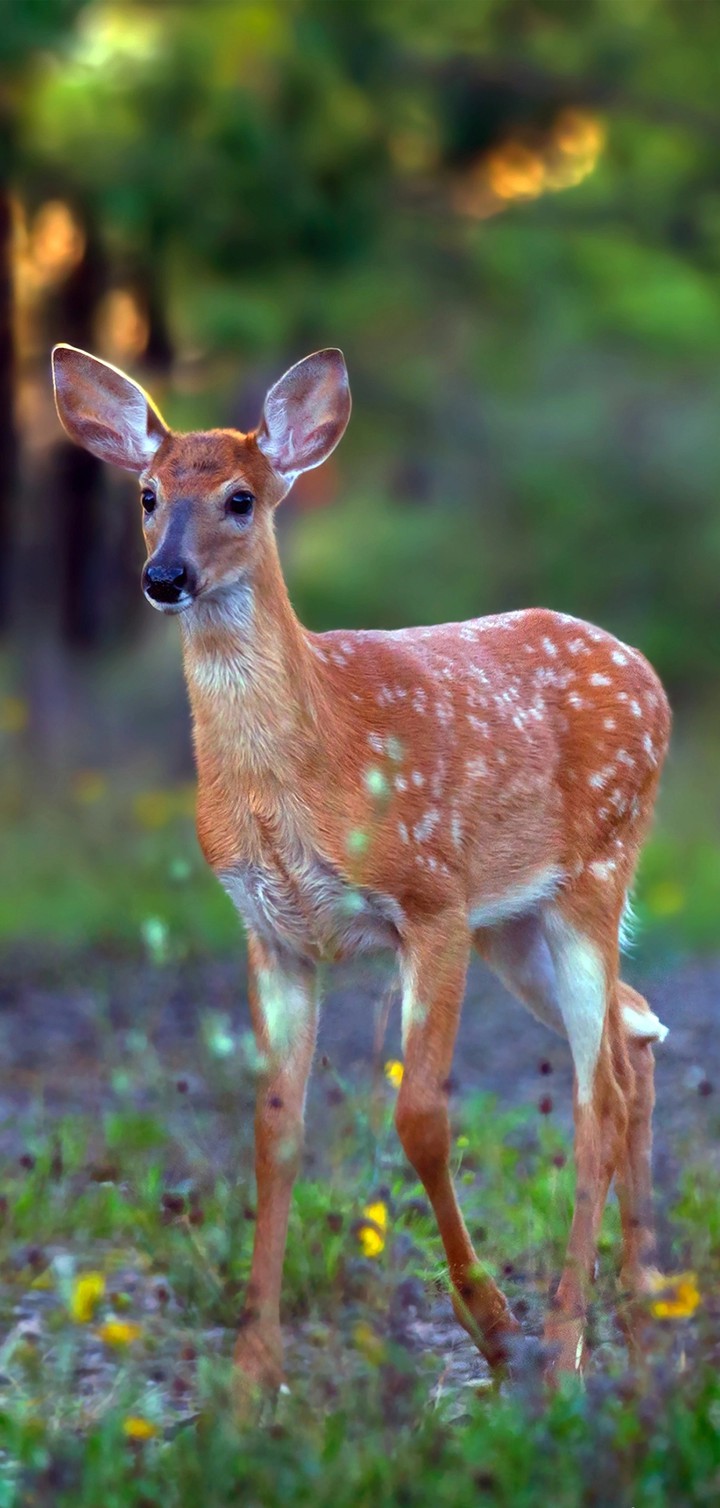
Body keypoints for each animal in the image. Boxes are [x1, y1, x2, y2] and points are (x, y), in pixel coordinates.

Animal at [52, 342, 670, 1397]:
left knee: (597, 1096)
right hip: (520, 924)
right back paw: (641, 1330)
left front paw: (494, 1330)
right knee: (633, 1040)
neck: (304, 773)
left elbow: (419, 1117)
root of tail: (650, 675)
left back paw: (563, 1348)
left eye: (241, 498)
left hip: (594, 871)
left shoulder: (432, 900)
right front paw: (252, 1380)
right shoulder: (273, 933)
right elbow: (274, 1132)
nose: (164, 576)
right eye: (145, 494)